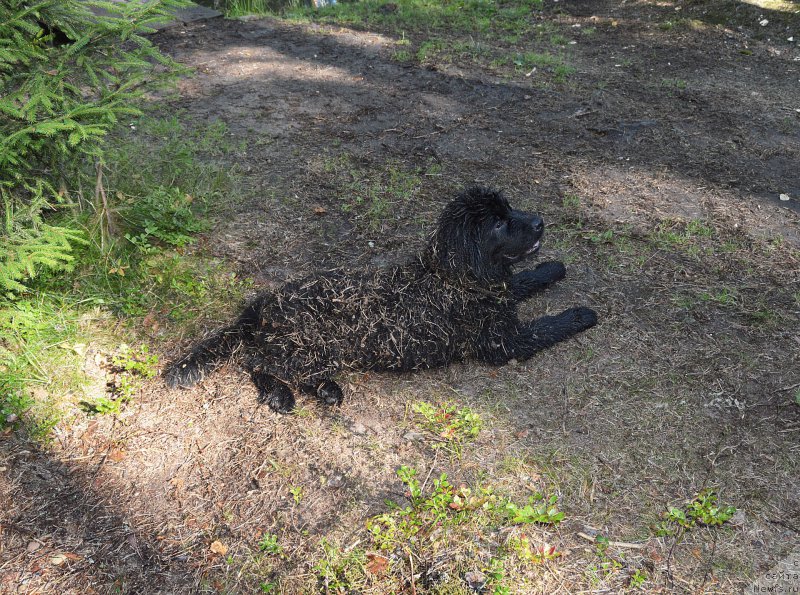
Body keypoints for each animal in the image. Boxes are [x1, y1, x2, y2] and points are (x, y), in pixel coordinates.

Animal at [166, 189, 596, 412]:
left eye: (509, 209)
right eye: (499, 223)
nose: (540, 222)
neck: (452, 277)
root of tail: (259, 308)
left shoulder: (504, 295)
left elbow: (525, 279)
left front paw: (552, 268)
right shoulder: (506, 343)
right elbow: (550, 324)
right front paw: (582, 313)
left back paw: (325, 390)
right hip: (314, 345)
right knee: (254, 361)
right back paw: (280, 395)